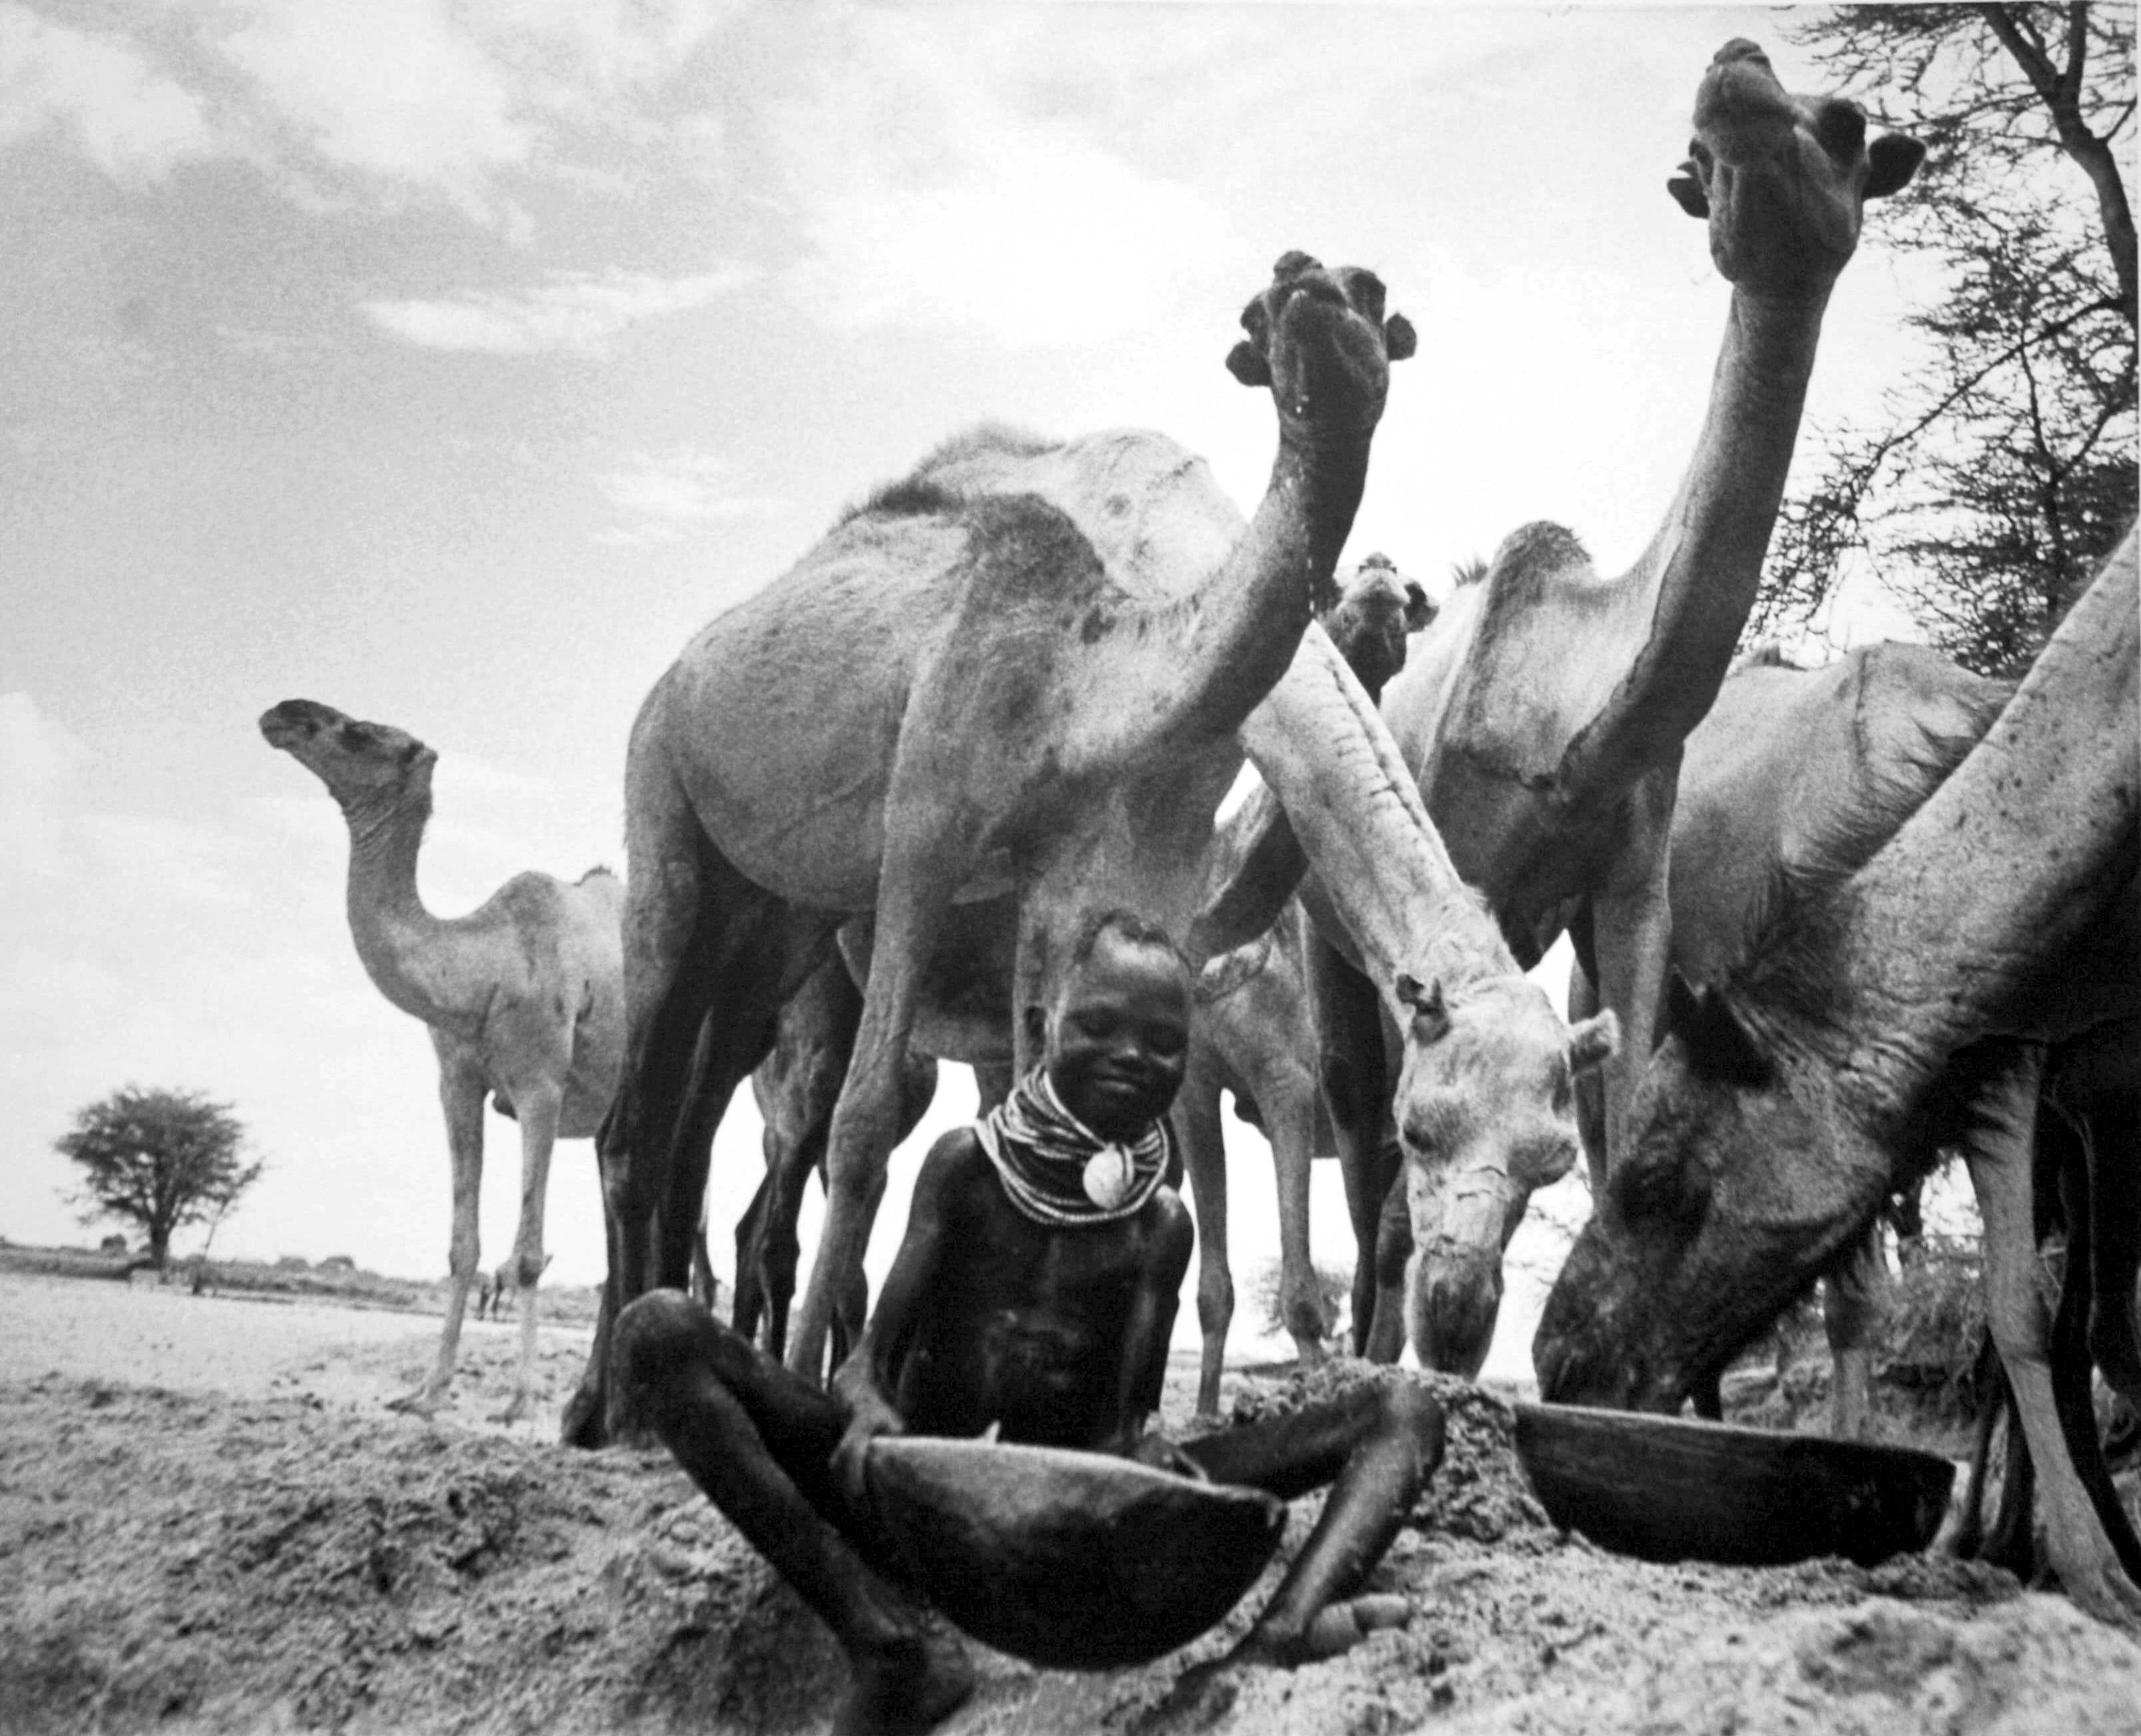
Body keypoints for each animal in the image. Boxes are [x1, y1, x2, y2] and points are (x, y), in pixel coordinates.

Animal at [259, 700, 625, 1422]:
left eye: (359, 732)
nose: (282, 713)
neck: (486, 966)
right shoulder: (456, 1081)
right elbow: (462, 1245)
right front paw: (427, 1392)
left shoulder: (541, 1086)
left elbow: (529, 1252)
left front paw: (518, 1401)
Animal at [568, 253, 1615, 1442]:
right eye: (1423, 1129)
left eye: (1553, 1159)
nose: (1457, 1319)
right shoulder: (942, 844)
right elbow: (889, 1124)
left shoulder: (1095, 884)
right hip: (668, 806)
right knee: (674, 1131)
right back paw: (614, 1399)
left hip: (771, 919)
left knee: (694, 1128)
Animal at [1212, 40, 1926, 1377]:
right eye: (1699, 161)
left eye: (1849, 126)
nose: (1736, 70)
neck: (1573, 715)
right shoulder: (1465, 889)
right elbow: (1415, 1150)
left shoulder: (1631, 887)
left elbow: (1629, 1114)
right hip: (1327, 943)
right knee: (1358, 1133)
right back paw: (1372, 1341)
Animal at [1535, 526, 2141, 1618]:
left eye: (1670, 1186)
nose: (1560, 1360)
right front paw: (2079, 1561)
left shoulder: (2001, 1046)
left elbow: (2020, 1310)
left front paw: (2081, 1560)